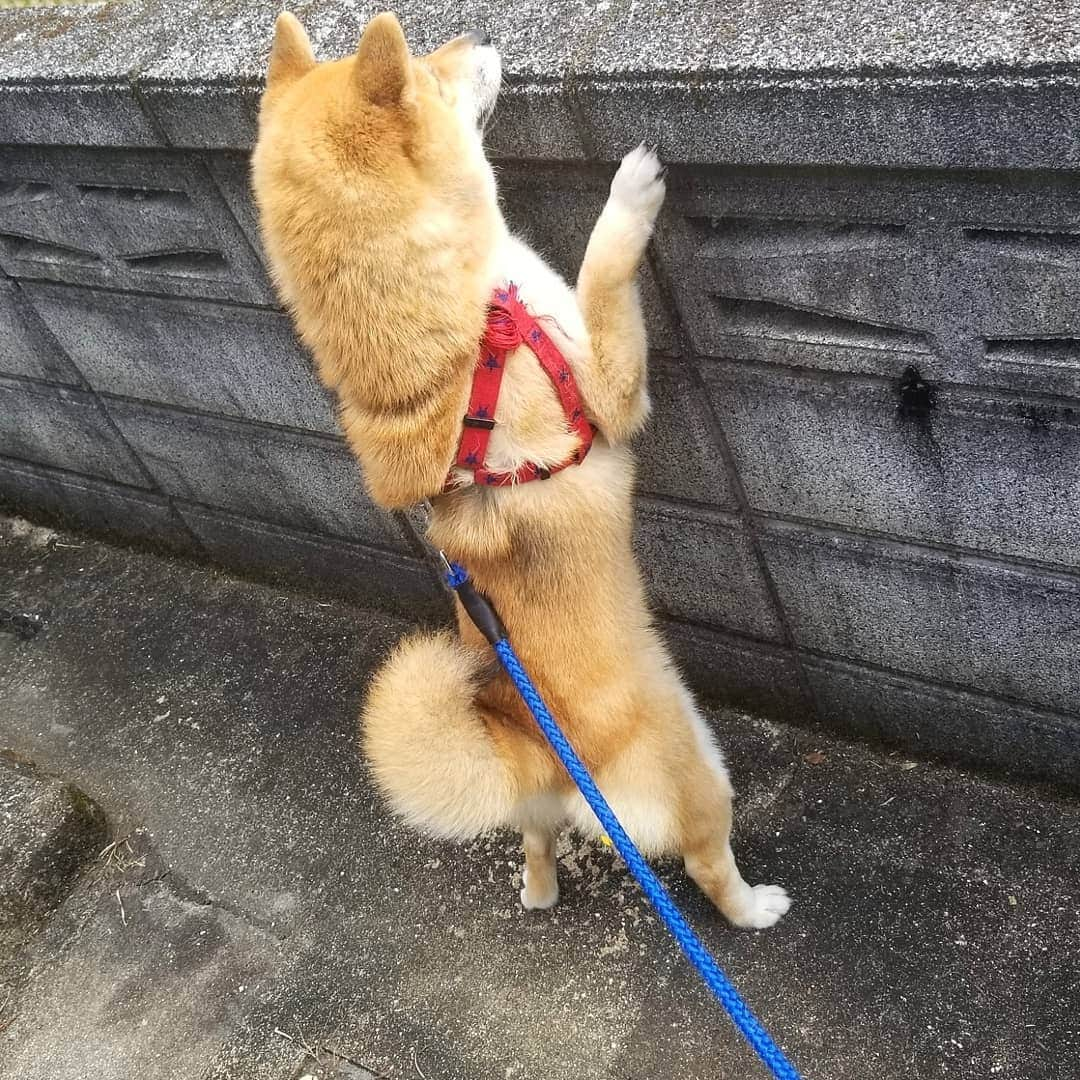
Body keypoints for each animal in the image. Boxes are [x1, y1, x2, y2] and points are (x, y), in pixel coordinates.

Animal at [253, 10, 794, 928]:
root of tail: (534, 750)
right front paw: (629, 194)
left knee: (536, 842)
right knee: (706, 864)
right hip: (697, 759)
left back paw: (538, 893)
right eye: (432, 71)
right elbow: (603, 273)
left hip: (538, 808)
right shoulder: (606, 392)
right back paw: (756, 908)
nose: (478, 37)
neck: (464, 349)